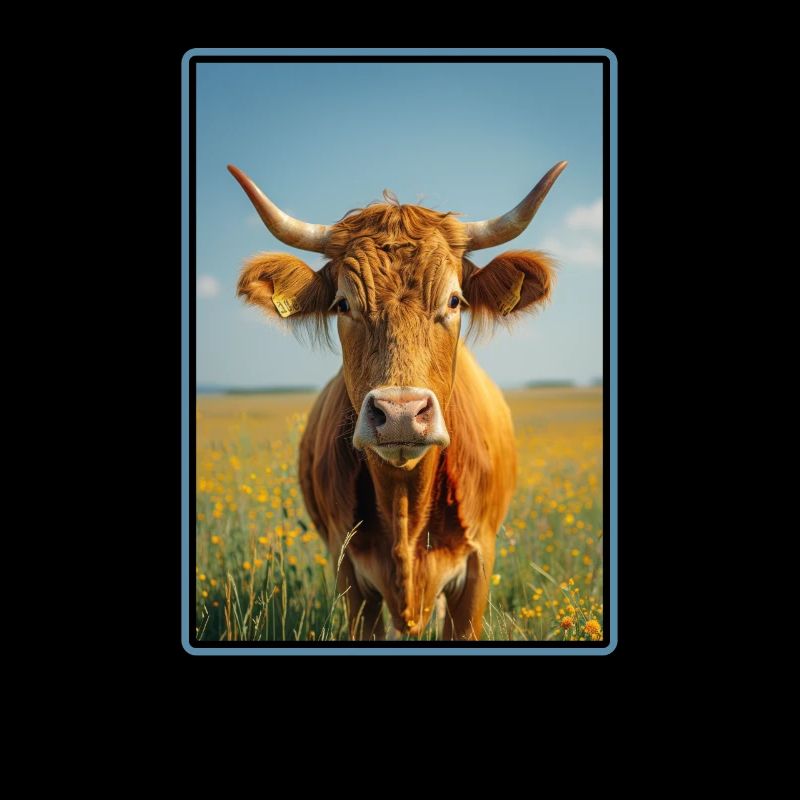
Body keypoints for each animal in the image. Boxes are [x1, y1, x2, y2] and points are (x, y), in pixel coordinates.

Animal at [229, 161, 566, 641]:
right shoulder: (350, 575)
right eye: (343, 304)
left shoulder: (479, 564)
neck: (406, 506)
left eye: (454, 300)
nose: (401, 414)